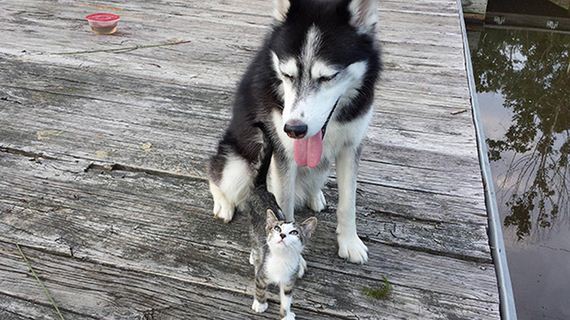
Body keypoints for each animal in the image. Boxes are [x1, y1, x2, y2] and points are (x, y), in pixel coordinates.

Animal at [206, 0, 380, 264]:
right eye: (287, 75)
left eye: (328, 76)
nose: (294, 129)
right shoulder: (283, 155)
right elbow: (283, 206)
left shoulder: (351, 147)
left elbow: (348, 203)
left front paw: (350, 242)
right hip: (236, 167)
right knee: (215, 174)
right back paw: (223, 204)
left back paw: (315, 195)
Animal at [244, 185, 316, 320]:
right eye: (277, 228)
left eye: (294, 232)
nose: (282, 235)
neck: (281, 258)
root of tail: (261, 189)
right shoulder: (263, 273)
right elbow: (260, 288)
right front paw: (260, 304)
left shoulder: (289, 280)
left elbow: (286, 299)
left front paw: (286, 315)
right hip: (252, 227)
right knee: (255, 244)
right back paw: (254, 257)